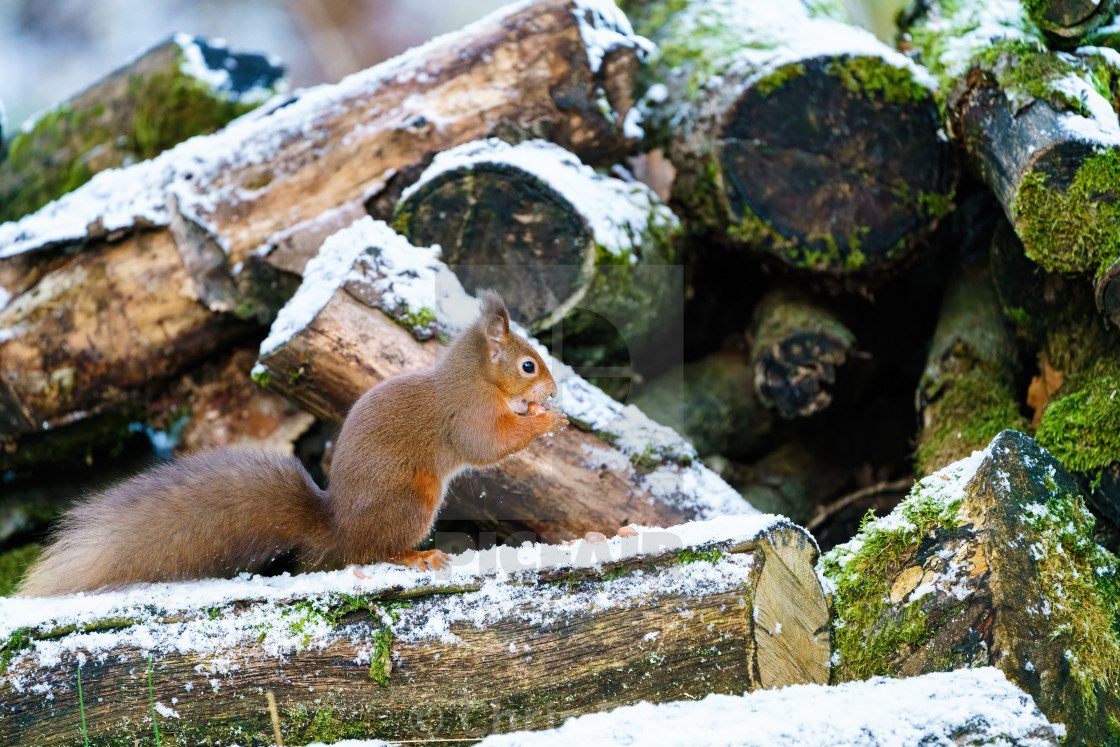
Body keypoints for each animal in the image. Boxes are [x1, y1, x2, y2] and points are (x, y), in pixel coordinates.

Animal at [20, 291, 568, 595]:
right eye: (528, 365)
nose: (554, 390)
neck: (477, 378)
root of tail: (339, 526)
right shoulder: (465, 415)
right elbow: (487, 445)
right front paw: (545, 421)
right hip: (411, 501)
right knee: (372, 554)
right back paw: (415, 556)